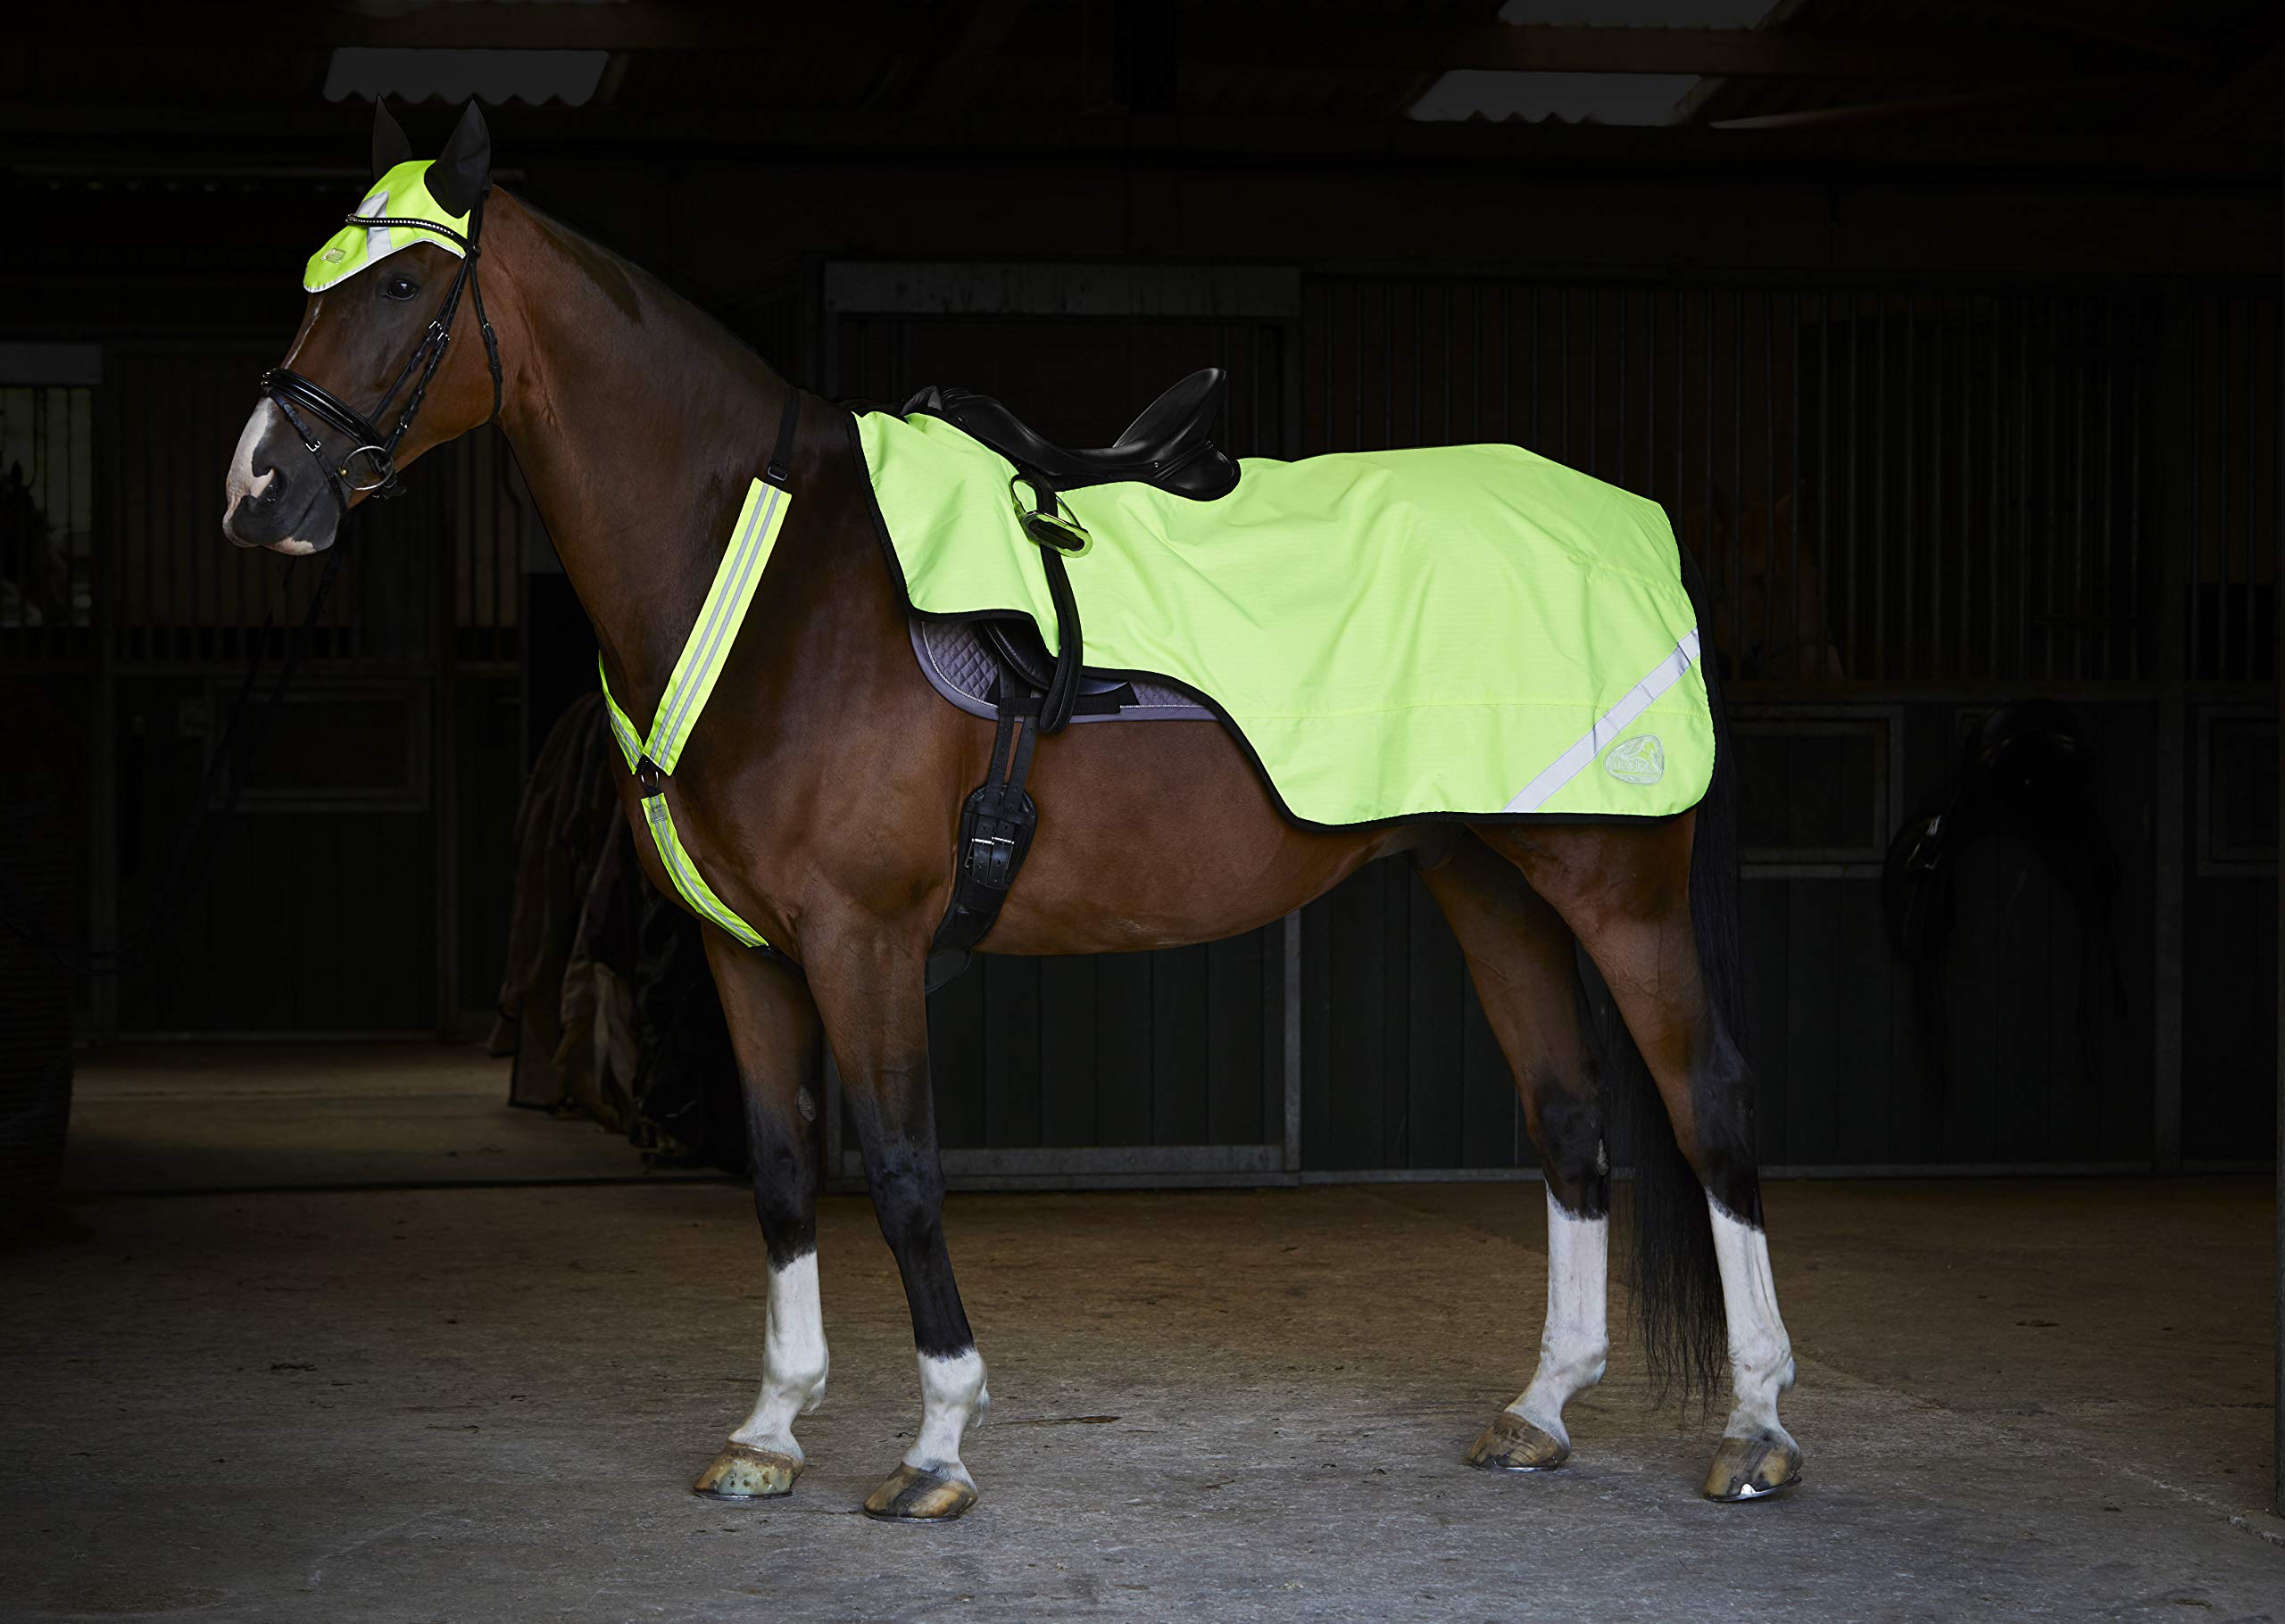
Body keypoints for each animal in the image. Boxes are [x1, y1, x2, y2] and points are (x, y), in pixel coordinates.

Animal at [220, 102, 1800, 1521]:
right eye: (318, 278)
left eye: (403, 286)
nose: (257, 492)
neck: (778, 579)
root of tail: (1636, 532)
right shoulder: (745, 951)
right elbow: (783, 1171)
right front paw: (769, 1434)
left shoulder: (862, 944)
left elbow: (903, 1170)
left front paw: (936, 1447)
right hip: (1492, 881)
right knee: (1572, 1119)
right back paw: (1542, 1411)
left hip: (1618, 890)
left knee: (1710, 1104)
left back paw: (1757, 1432)